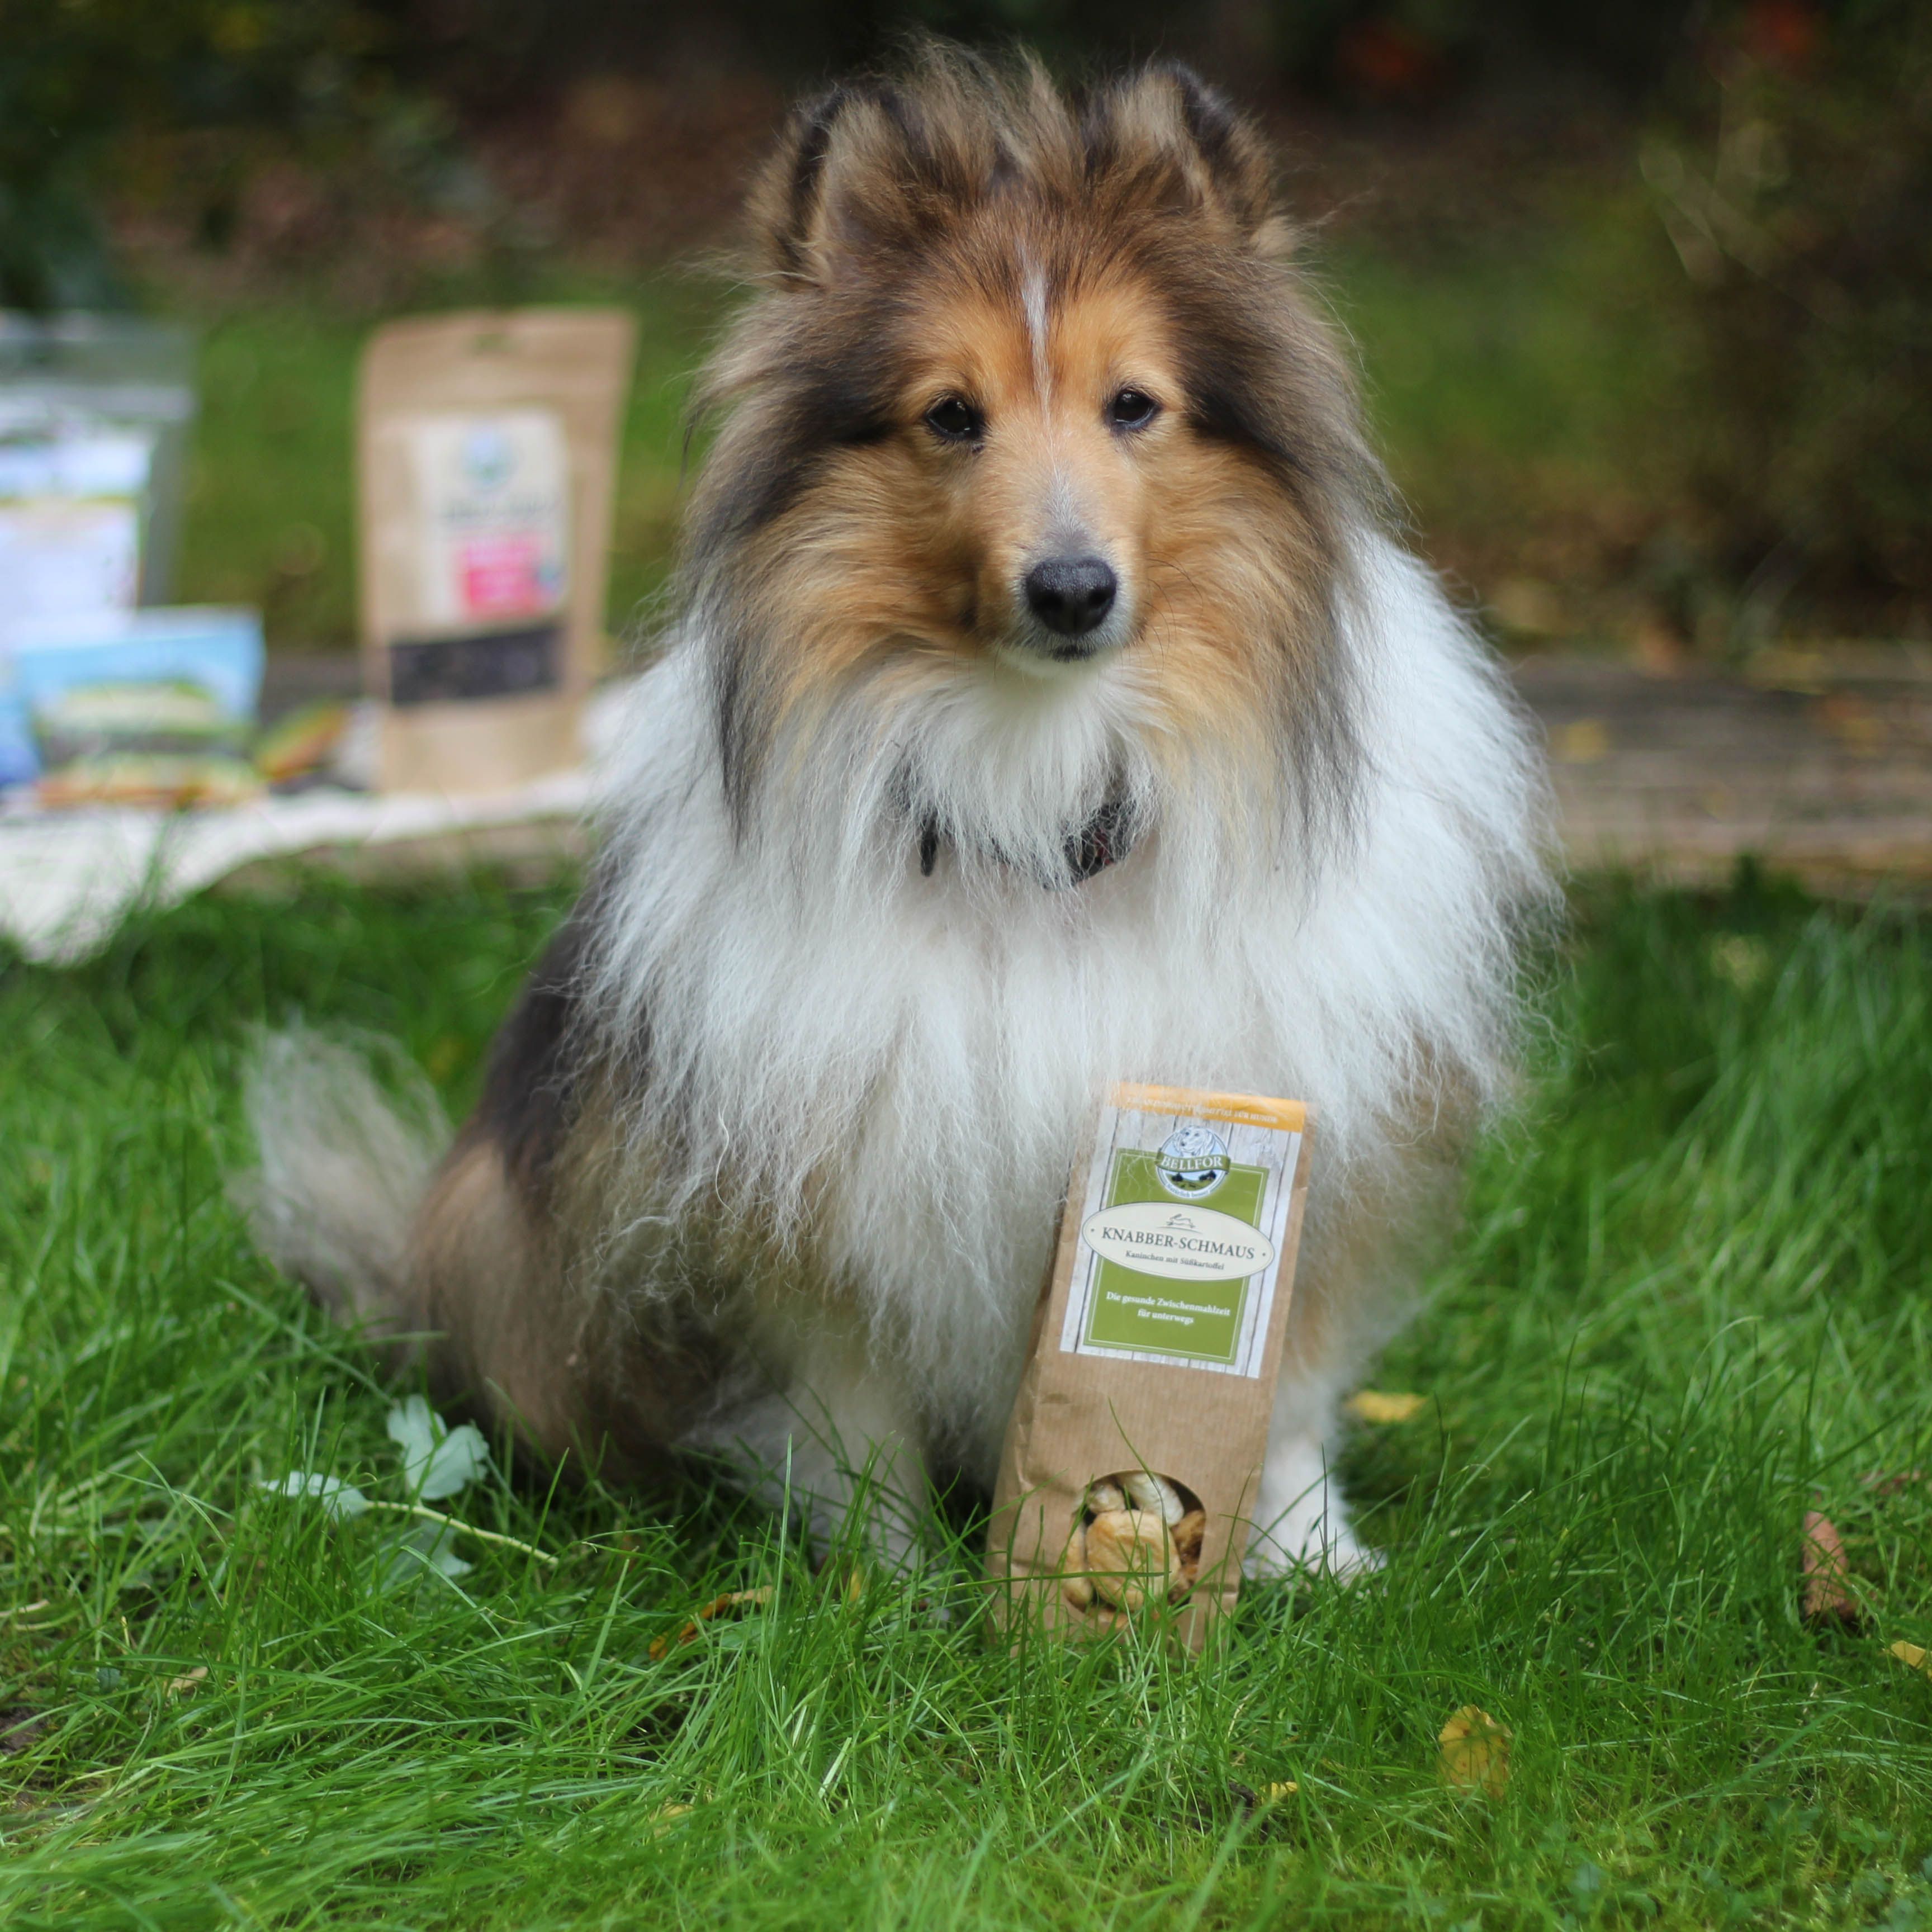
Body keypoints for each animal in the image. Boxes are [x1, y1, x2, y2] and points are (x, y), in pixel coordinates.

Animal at [245, 53, 1537, 1576]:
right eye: (951, 415)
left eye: (1133, 405)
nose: (1071, 590)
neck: (1039, 790)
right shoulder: (811, 1193)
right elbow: (852, 1404)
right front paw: (881, 1581)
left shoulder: (1312, 1146)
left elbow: (1288, 1385)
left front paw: (1309, 1556)